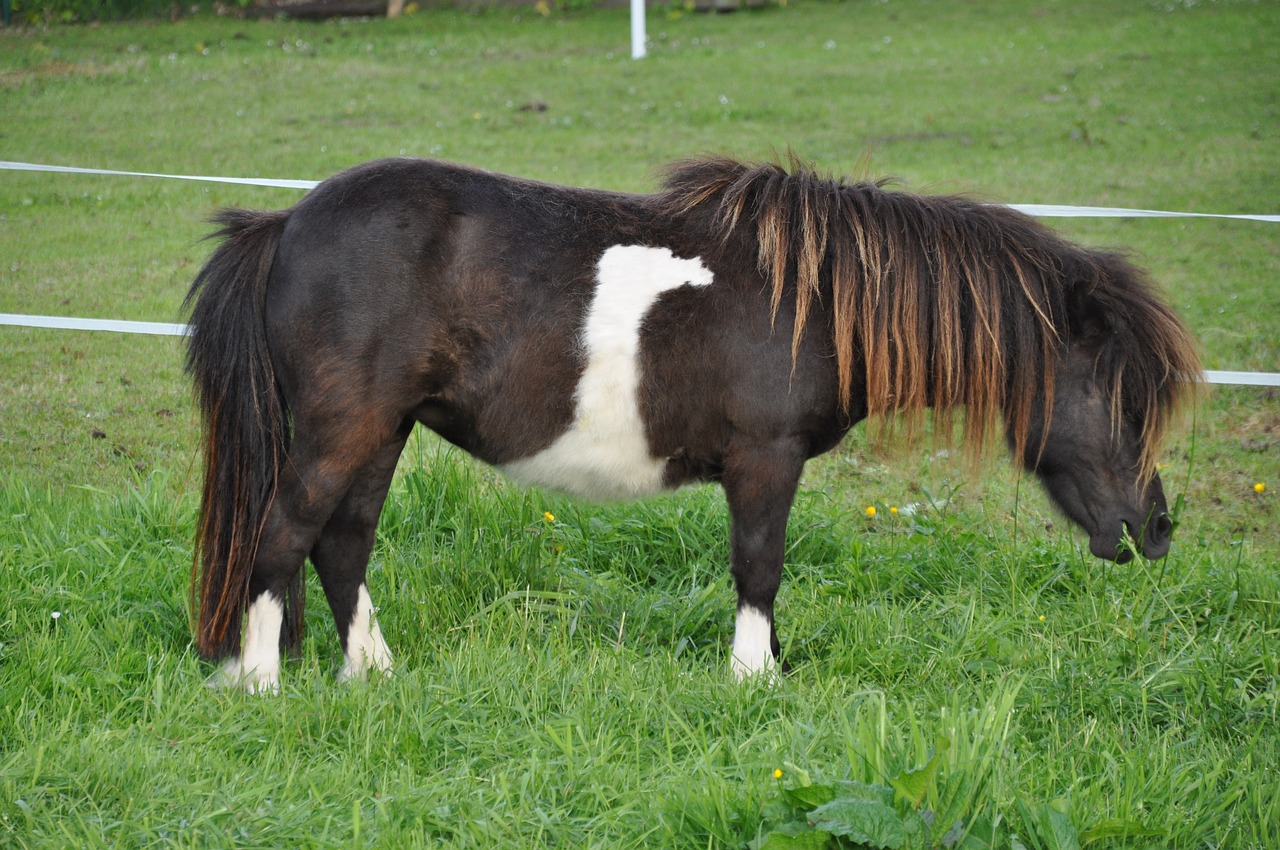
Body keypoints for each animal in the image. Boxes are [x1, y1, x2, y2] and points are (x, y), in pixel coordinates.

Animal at [183, 157, 1198, 691]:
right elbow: (760, 568)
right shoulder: (765, 460)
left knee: (342, 542)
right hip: (340, 429)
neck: (813, 299)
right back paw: (260, 684)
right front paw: (756, 677)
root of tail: (288, 220)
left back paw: (373, 675)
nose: (1154, 529)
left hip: (381, 429)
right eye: (1123, 398)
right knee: (283, 537)